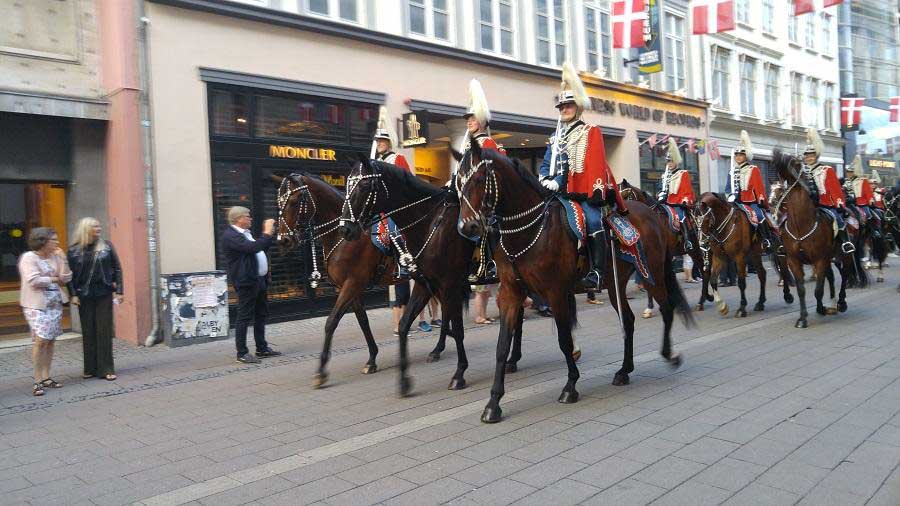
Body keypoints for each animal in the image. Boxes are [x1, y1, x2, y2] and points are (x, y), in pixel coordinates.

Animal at [454, 138, 692, 422]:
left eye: (479, 179)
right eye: (458, 183)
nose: (466, 228)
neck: (528, 230)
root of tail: (653, 216)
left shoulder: (555, 292)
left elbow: (565, 340)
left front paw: (570, 386)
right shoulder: (511, 292)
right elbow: (502, 346)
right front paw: (493, 403)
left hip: (651, 274)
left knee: (667, 308)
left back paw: (670, 355)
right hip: (614, 283)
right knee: (629, 320)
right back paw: (624, 370)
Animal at [768, 149, 864, 328]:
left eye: (796, 164)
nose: (771, 204)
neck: (801, 225)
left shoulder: (820, 259)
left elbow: (818, 289)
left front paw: (820, 309)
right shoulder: (794, 260)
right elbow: (802, 289)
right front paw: (803, 318)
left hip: (844, 255)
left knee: (845, 274)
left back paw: (841, 303)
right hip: (831, 258)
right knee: (832, 277)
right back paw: (832, 304)